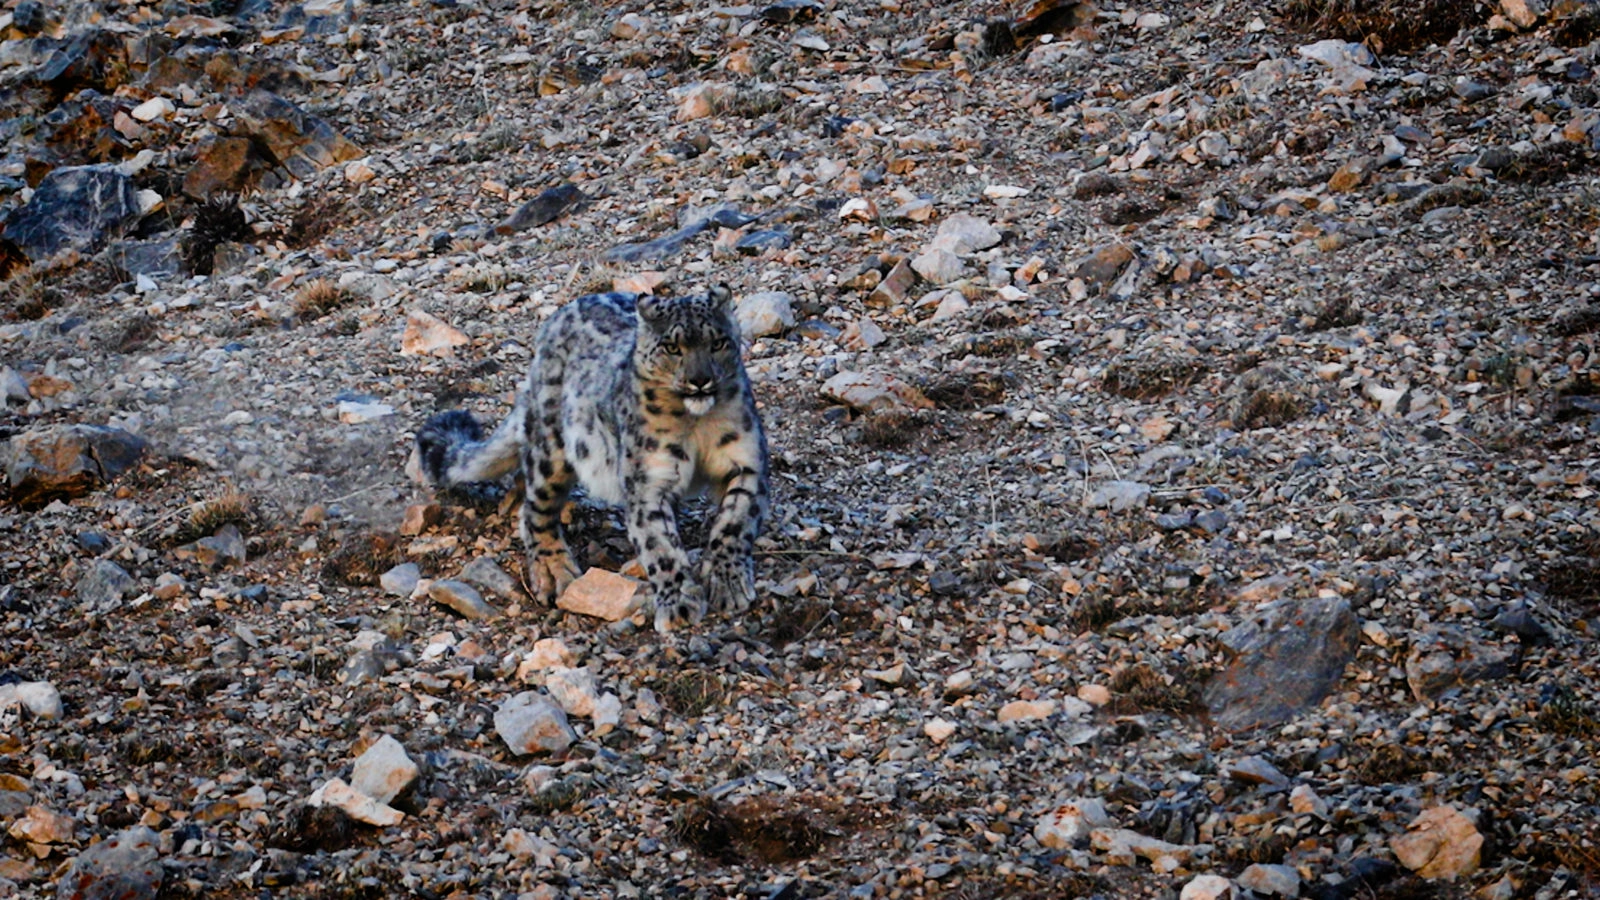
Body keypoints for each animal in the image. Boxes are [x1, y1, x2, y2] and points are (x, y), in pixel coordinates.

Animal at [416, 286, 771, 630]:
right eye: (672, 347)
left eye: (718, 342)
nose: (700, 380)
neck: (696, 424)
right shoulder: (647, 482)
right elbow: (660, 546)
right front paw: (678, 603)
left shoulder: (746, 461)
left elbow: (735, 521)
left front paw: (728, 582)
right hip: (553, 450)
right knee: (535, 508)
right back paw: (553, 570)